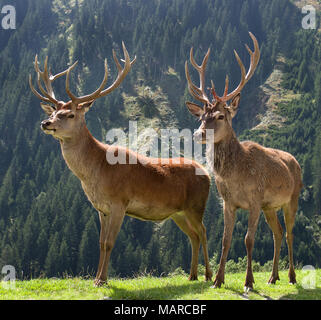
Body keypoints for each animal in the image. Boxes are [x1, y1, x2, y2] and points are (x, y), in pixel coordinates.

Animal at [29, 42, 212, 284]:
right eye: (55, 111)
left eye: (70, 115)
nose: (45, 123)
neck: (96, 172)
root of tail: (207, 173)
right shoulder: (101, 208)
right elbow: (100, 243)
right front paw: (97, 278)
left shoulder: (119, 202)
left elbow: (109, 243)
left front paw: (102, 280)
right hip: (178, 213)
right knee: (193, 235)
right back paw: (192, 275)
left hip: (196, 205)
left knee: (204, 232)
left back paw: (209, 275)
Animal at [184, 32, 302, 290]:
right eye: (202, 116)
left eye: (220, 116)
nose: (198, 134)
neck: (236, 176)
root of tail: (295, 161)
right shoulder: (228, 202)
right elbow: (225, 241)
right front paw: (217, 280)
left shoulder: (255, 199)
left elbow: (249, 239)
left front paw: (248, 282)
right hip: (271, 206)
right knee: (278, 232)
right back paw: (273, 276)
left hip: (292, 198)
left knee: (290, 233)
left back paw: (291, 276)